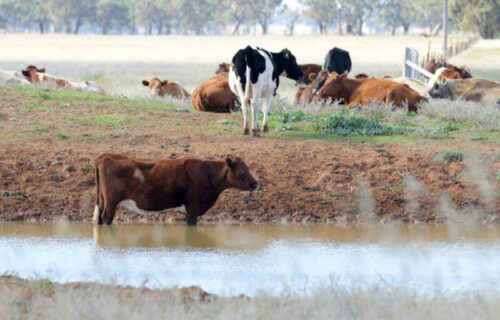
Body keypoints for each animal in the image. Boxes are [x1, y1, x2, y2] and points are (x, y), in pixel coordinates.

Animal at [94, 153, 258, 225]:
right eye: (242, 171)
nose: (256, 184)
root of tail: (105, 156)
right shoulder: (193, 208)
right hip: (111, 202)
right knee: (106, 218)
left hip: (103, 200)